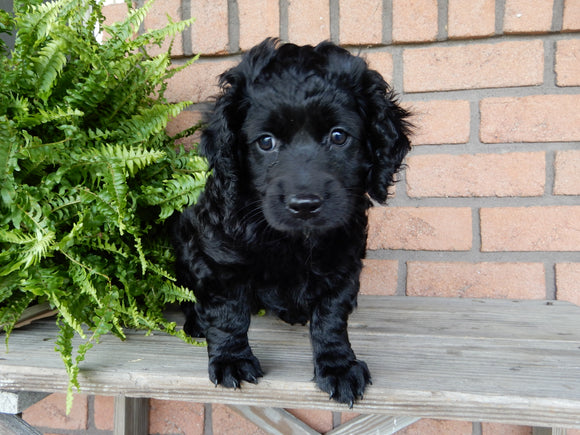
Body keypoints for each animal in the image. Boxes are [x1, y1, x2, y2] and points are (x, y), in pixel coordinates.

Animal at [172, 39, 412, 408]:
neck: (292, 238)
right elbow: (227, 312)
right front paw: (231, 359)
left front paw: (338, 366)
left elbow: (331, 318)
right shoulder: (219, 259)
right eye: (265, 141)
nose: (304, 205)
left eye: (338, 136)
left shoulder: (343, 262)